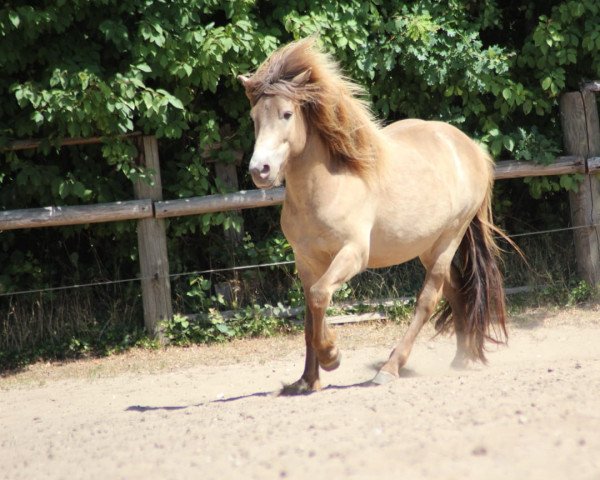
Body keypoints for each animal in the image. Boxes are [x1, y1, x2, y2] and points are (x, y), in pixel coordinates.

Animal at [239, 38, 510, 394]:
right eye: (254, 117)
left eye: (286, 114)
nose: (260, 170)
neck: (329, 185)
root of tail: (472, 149)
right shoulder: (306, 261)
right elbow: (310, 315)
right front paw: (308, 380)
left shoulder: (353, 254)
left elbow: (320, 296)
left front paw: (332, 356)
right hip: (427, 247)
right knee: (454, 290)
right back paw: (462, 357)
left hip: (449, 238)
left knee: (429, 299)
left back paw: (389, 368)